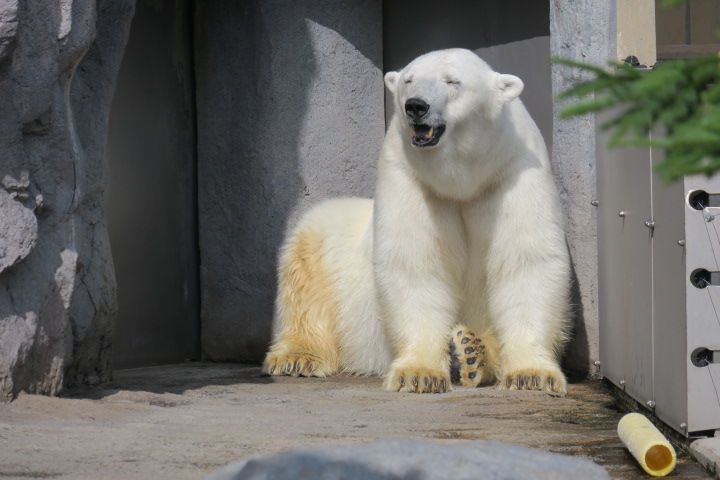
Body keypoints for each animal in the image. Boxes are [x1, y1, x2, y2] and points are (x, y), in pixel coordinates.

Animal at [262, 48, 572, 394]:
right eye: (408, 80)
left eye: (452, 81)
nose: (416, 106)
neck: (463, 180)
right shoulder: (410, 176)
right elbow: (415, 263)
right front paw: (419, 373)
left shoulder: (512, 171)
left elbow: (525, 262)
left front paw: (531, 375)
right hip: (331, 247)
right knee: (308, 257)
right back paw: (298, 356)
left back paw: (472, 351)